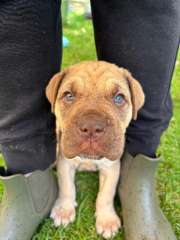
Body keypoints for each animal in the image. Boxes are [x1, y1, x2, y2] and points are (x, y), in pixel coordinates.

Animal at [45, 60, 144, 238]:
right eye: (69, 96)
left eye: (119, 98)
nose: (91, 126)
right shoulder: (65, 163)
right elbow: (67, 187)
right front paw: (64, 210)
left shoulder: (111, 168)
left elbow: (105, 195)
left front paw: (106, 219)